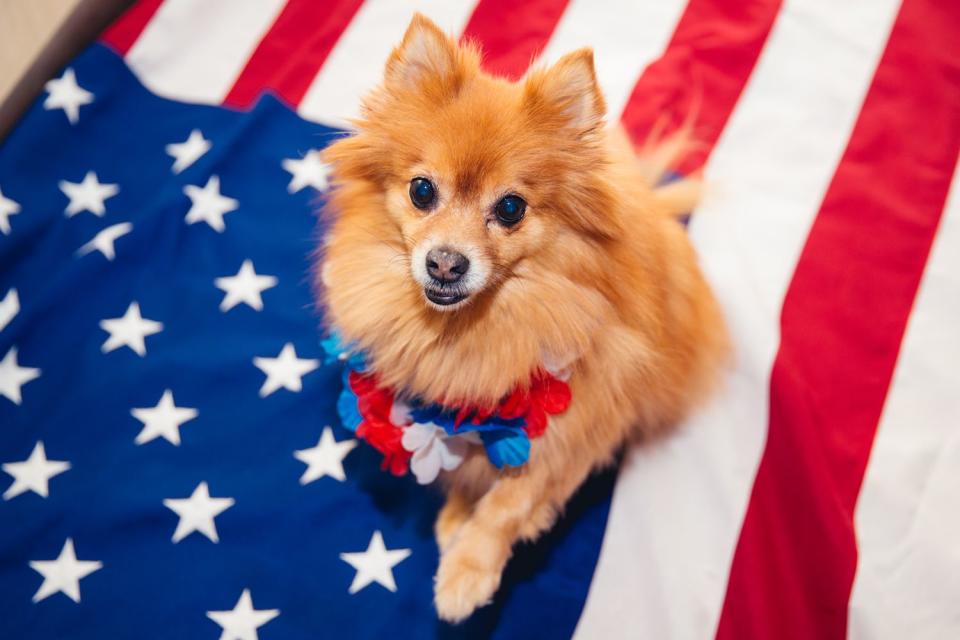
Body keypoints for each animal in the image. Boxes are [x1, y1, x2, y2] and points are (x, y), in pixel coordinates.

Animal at [318, 13, 732, 620]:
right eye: (422, 191)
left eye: (510, 208)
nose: (445, 262)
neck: (472, 330)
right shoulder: (454, 405)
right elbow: (465, 464)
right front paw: (455, 517)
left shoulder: (577, 420)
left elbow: (511, 501)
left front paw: (468, 572)